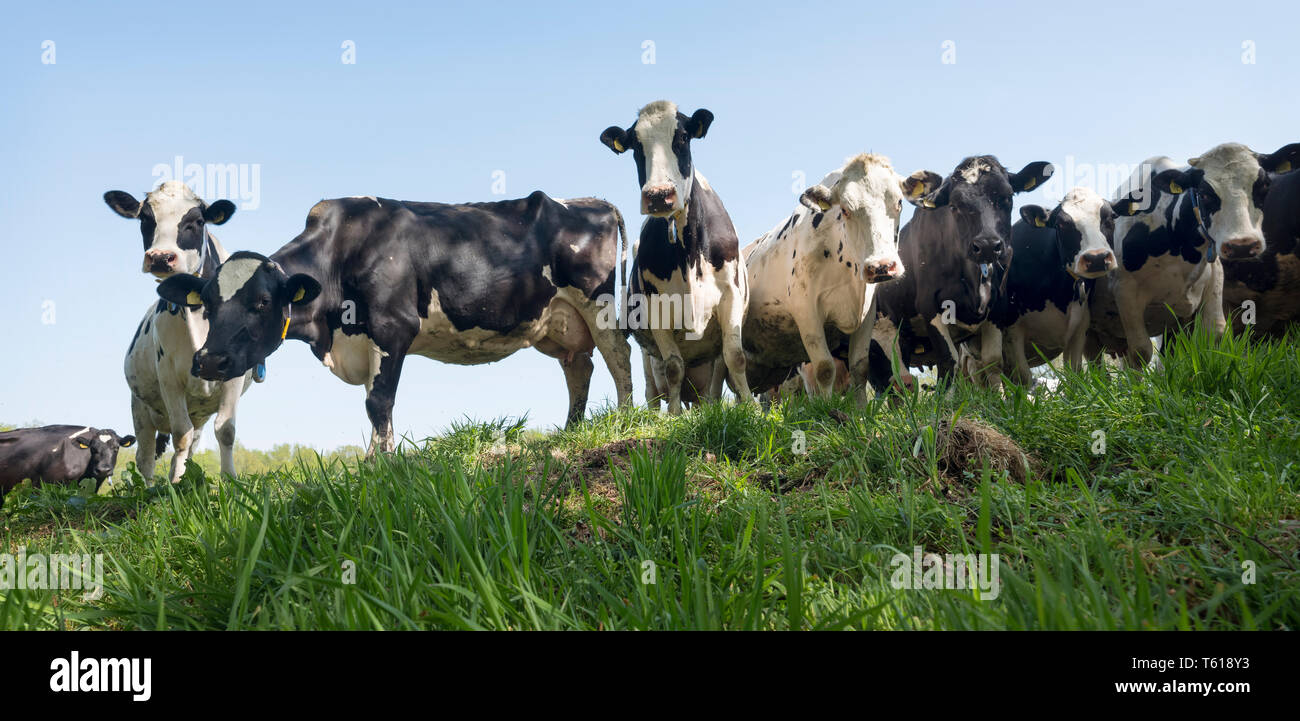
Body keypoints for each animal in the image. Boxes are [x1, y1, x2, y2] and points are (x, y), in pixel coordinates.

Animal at [105, 180, 254, 483]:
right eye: (145, 218)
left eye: (196, 221)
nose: (161, 257)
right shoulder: (169, 378)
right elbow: (180, 435)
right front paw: (175, 487)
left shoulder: (234, 374)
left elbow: (226, 430)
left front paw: (230, 481)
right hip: (141, 409)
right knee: (146, 457)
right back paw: (150, 486)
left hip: (197, 413)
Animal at [155, 192, 635, 455]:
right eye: (208, 304)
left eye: (261, 302)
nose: (209, 361)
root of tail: (592, 202)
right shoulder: (365, 340)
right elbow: (373, 402)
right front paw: (373, 460)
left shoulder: (393, 328)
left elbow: (378, 403)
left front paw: (384, 462)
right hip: (556, 321)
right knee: (579, 366)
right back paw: (571, 430)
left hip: (598, 301)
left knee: (618, 356)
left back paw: (628, 419)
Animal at [599, 100, 753, 413]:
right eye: (636, 146)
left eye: (682, 137)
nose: (659, 195)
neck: (689, 249)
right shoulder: (656, 308)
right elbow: (673, 367)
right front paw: (673, 416)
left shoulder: (730, 295)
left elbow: (736, 356)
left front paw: (752, 408)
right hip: (647, 355)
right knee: (653, 388)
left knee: (712, 385)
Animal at [741, 153, 940, 397]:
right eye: (845, 209)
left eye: (899, 203)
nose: (882, 266)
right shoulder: (807, 313)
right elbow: (825, 369)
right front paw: (827, 407)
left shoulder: (866, 315)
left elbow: (860, 367)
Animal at [869, 156, 1054, 391]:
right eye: (954, 206)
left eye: (1007, 197)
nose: (987, 245)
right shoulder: (930, 308)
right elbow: (949, 362)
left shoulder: (998, 308)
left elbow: (993, 361)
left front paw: (998, 397)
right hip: (881, 336)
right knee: (892, 381)